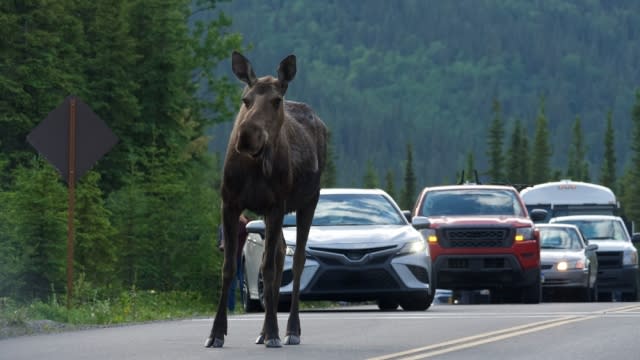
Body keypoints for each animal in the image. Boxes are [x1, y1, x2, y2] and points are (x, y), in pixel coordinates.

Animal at [205, 52, 324, 348]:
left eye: (276, 100)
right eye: (245, 99)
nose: (247, 135)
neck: (254, 167)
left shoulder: (275, 205)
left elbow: (268, 269)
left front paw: (273, 332)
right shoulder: (230, 203)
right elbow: (229, 267)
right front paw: (216, 332)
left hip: (308, 201)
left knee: (297, 260)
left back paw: (291, 330)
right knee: (281, 252)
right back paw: (263, 331)